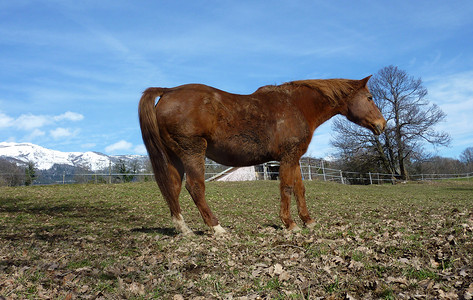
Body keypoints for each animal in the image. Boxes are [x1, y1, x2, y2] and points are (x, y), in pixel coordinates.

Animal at [138, 76, 386, 236]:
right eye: (370, 97)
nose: (382, 125)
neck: (296, 105)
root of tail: (168, 91)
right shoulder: (288, 157)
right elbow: (286, 188)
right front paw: (290, 224)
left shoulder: (294, 158)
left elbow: (300, 189)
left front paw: (308, 221)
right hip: (192, 153)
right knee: (195, 187)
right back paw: (217, 228)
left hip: (175, 158)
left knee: (173, 188)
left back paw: (185, 229)